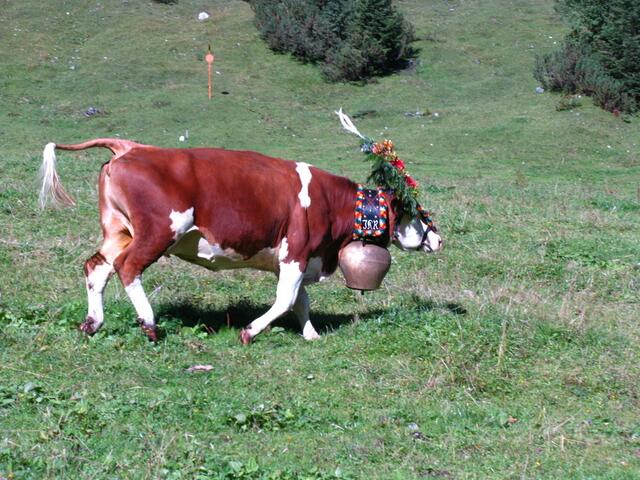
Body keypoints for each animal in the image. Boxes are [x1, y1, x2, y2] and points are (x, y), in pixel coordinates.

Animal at [39, 139, 442, 343]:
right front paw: (250, 331)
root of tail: (132, 147)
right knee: (128, 267)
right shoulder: (297, 252)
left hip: (119, 231)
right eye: (418, 210)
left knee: (97, 267)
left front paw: (311, 334)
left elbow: (301, 301)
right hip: (158, 231)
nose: (437, 239)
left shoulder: (298, 258)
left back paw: (93, 323)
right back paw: (150, 324)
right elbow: (285, 301)